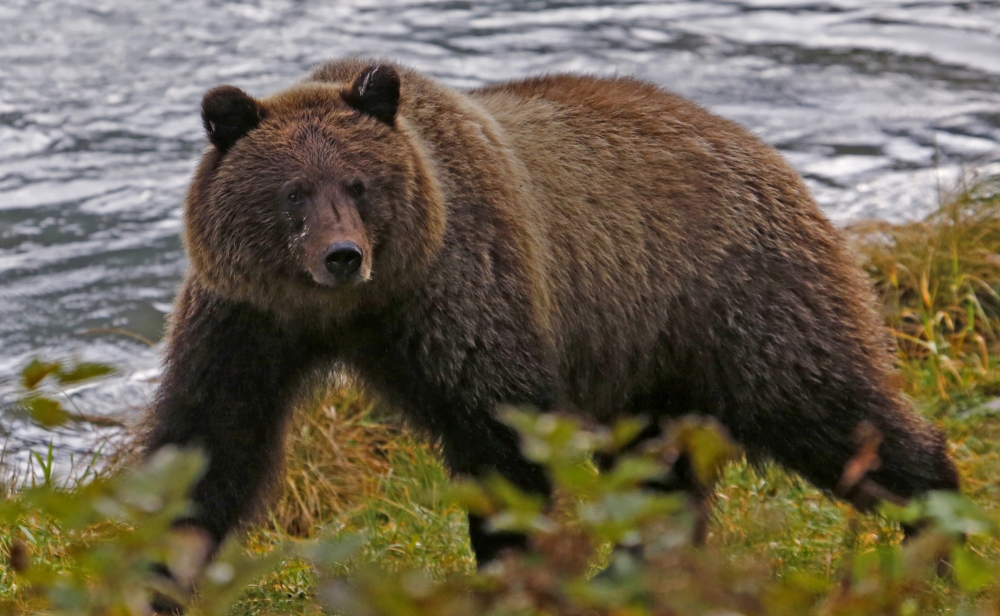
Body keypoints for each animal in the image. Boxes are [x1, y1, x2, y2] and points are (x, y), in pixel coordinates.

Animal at [145, 56, 956, 576]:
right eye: (292, 192)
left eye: (358, 183)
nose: (342, 254)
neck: (353, 309)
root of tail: (760, 148)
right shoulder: (247, 317)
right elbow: (211, 441)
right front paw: (162, 573)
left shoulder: (467, 290)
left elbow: (503, 442)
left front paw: (507, 567)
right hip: (652, 358)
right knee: (659, 477)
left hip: (741, 297)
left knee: (829, 410)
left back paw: (942, 535)